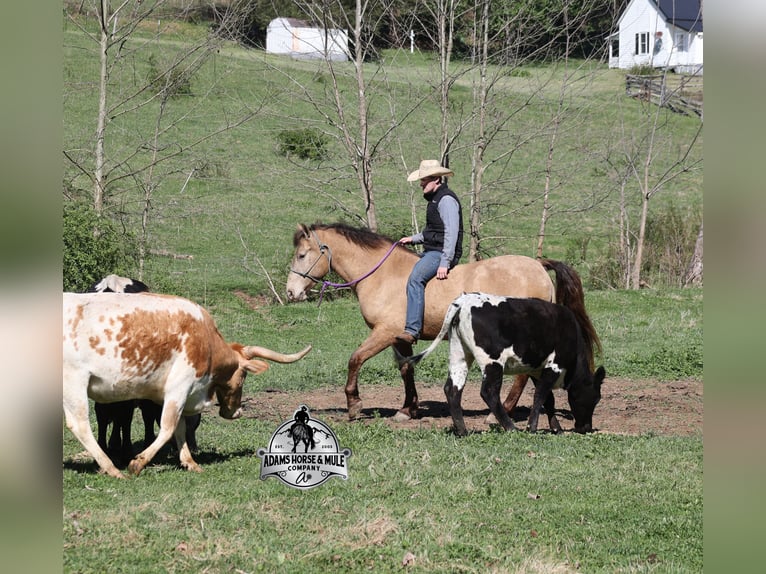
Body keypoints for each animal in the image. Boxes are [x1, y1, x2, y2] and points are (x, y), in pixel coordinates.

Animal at [286, 222, 600, 422]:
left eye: (301, 255)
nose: (291, 292)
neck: (383, 275)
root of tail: (538, 265)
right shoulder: (400, 338)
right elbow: (406, 369)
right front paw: (408, 409)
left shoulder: (384, 333)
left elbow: (355, 360)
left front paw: (354, 404)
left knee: (521, 377)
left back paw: (498, 414)